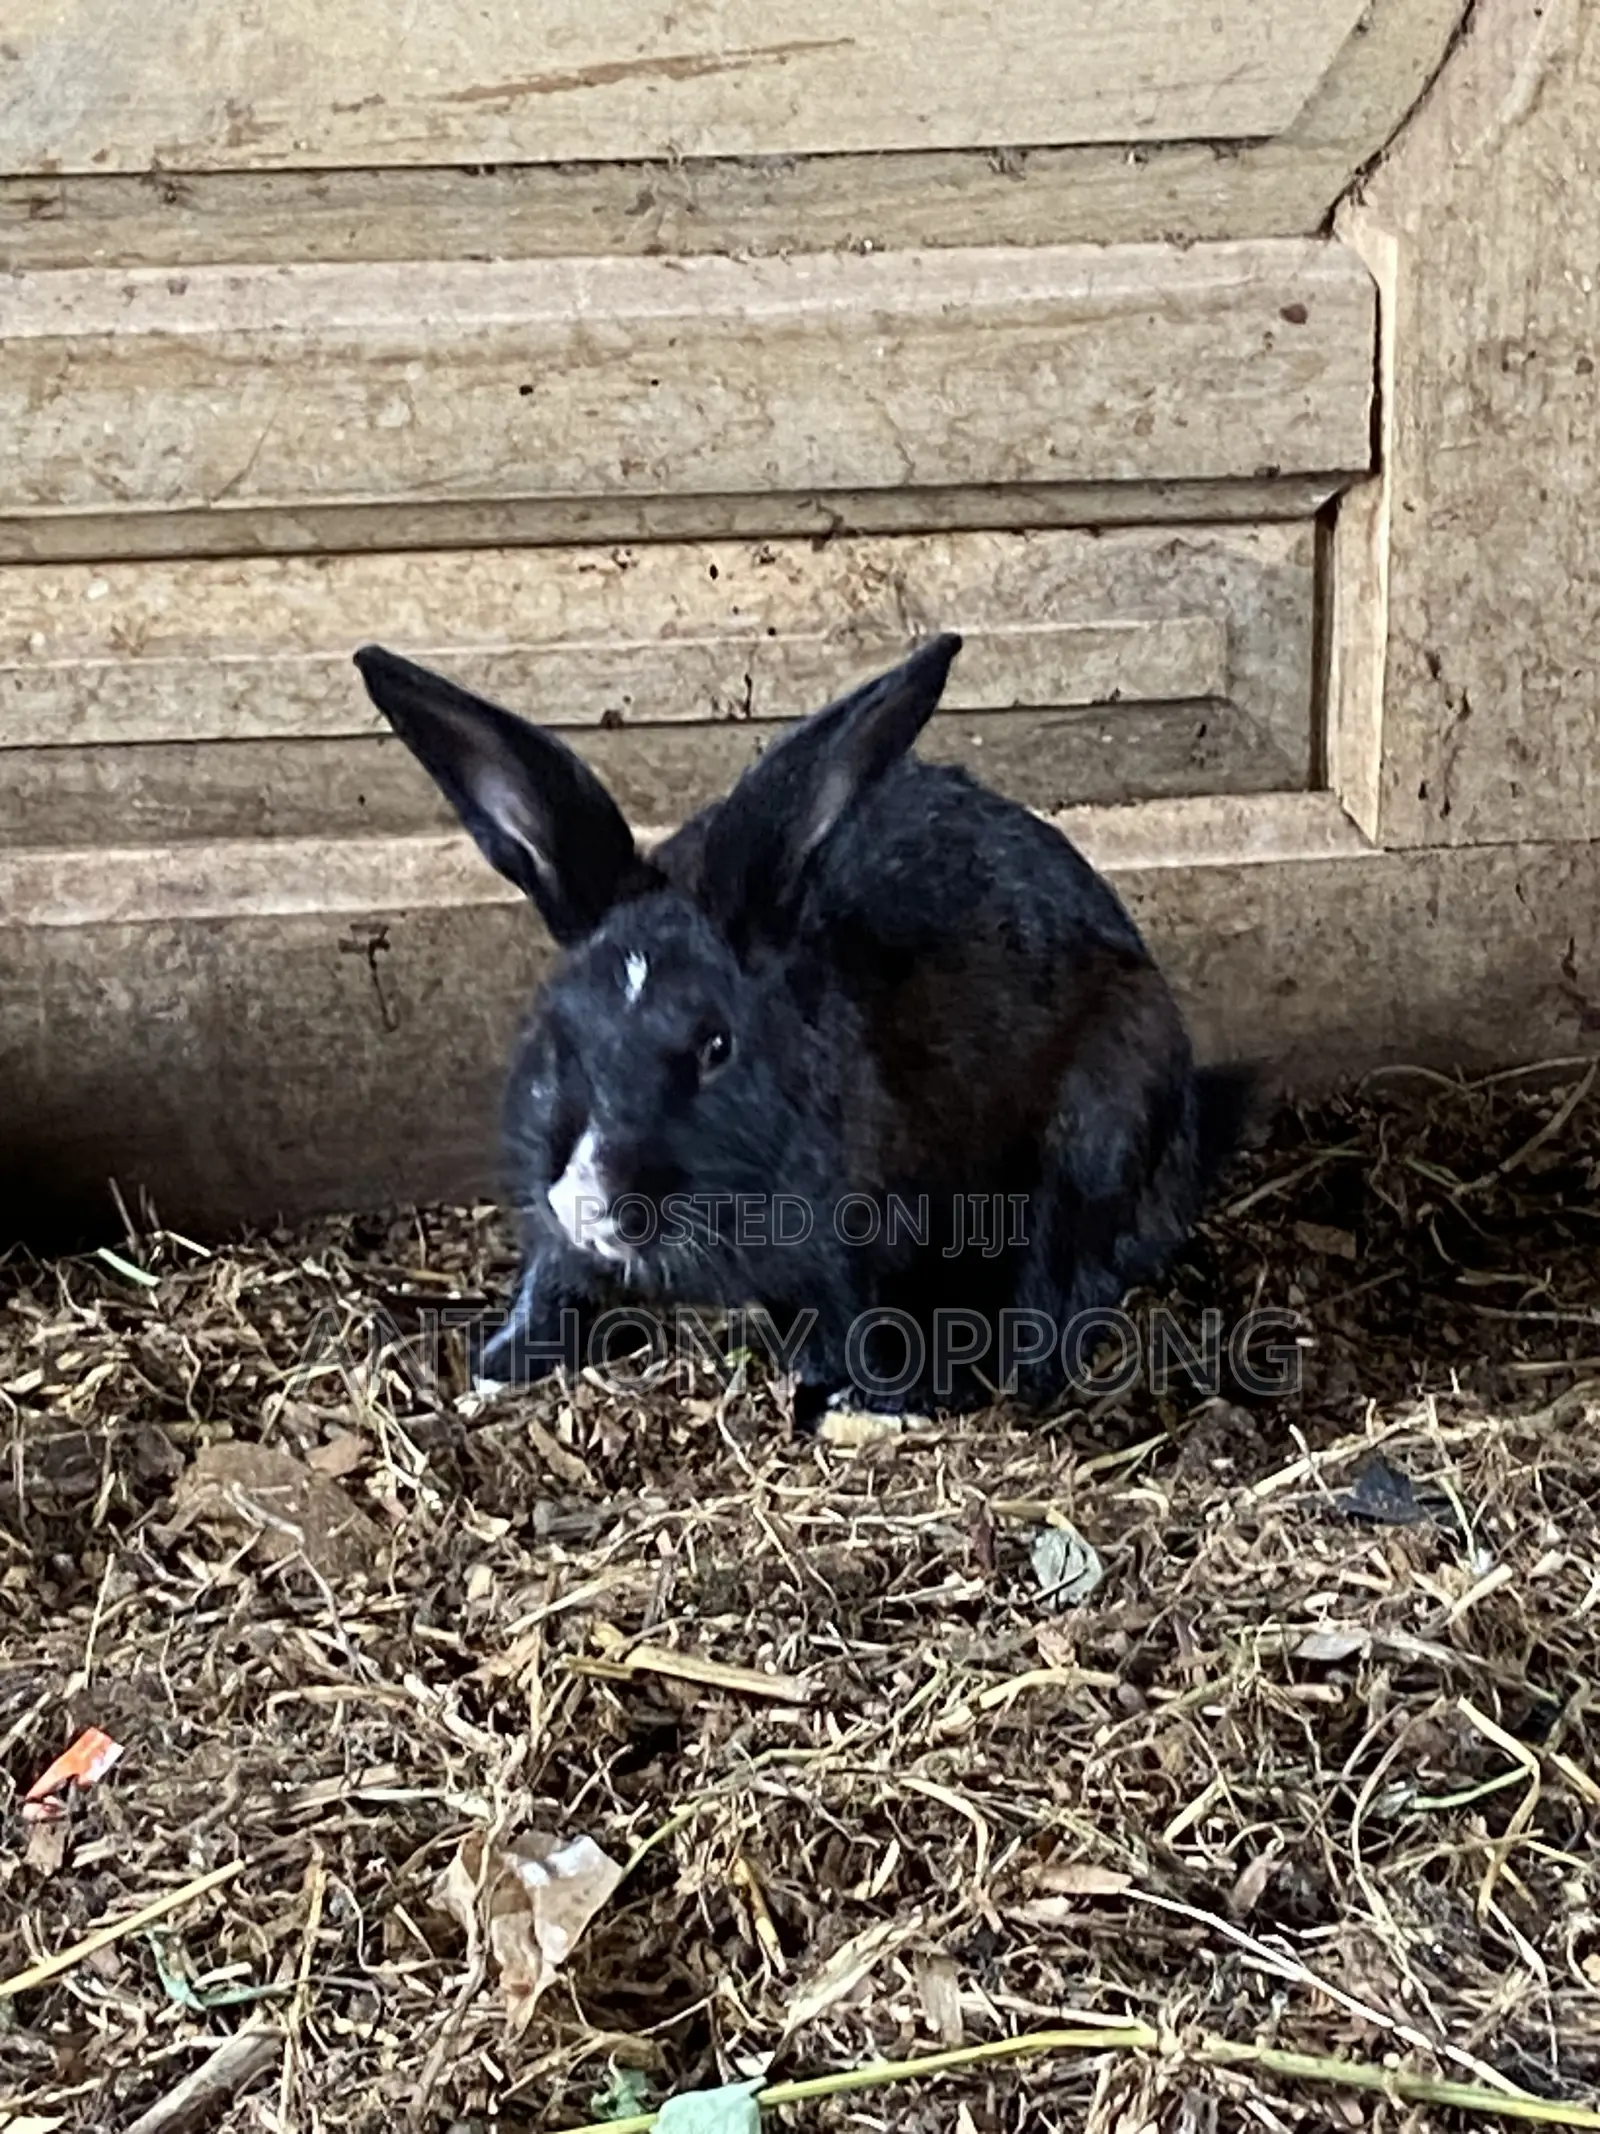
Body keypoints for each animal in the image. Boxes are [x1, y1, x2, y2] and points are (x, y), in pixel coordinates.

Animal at [351, 634, 1253, 1424]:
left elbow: (845, 1328)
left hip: (1098, 1127)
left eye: (716, 1046)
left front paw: (858, 1400)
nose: (592, 1202)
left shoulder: (845, 1254)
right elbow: (553, 1287)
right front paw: (501, 1366)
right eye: (555, 1033)